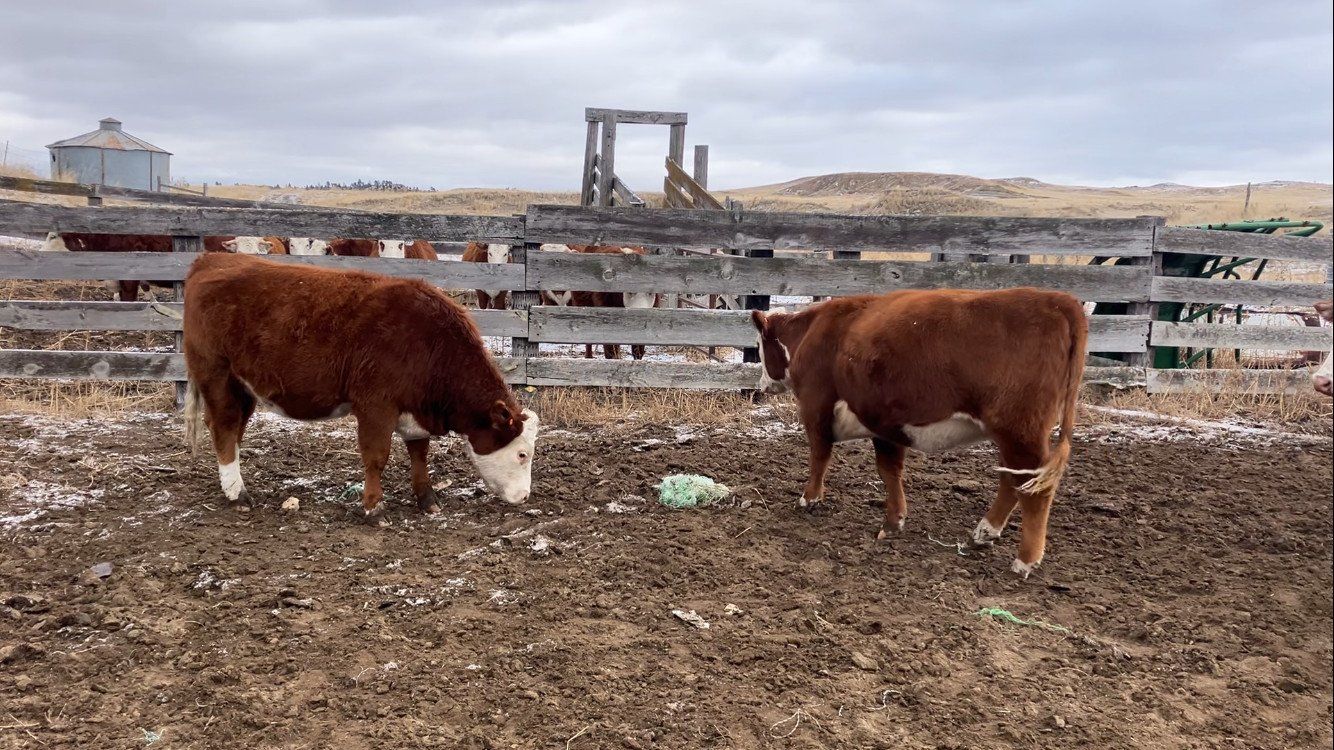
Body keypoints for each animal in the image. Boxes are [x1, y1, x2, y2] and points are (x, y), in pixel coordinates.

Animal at [182, 253, 539, 525]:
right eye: (522, 453)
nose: (524, 496)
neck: (426, 340)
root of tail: (212, 259)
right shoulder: (375, 405)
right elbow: (376, 457)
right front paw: (373, 508)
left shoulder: (415, 409)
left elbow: (419, 454)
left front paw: (427, 499)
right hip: (216, 374)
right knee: (224, 427)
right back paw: (237, 494)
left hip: (245, 387)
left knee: (233, 430)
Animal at [751, 288, 1087, 578]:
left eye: (759, 348)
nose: (762, 385)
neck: (814, 331)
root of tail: (1057, 300)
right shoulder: (883, 423)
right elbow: (889, 470)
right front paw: (893, 521)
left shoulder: (816, 407)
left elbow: (819, 456)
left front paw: (809, 499)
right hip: (1010, 435)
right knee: (1012, 480)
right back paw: (984, 533)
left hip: (1020, 432)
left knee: (1035, 490)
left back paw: (1025, 560)